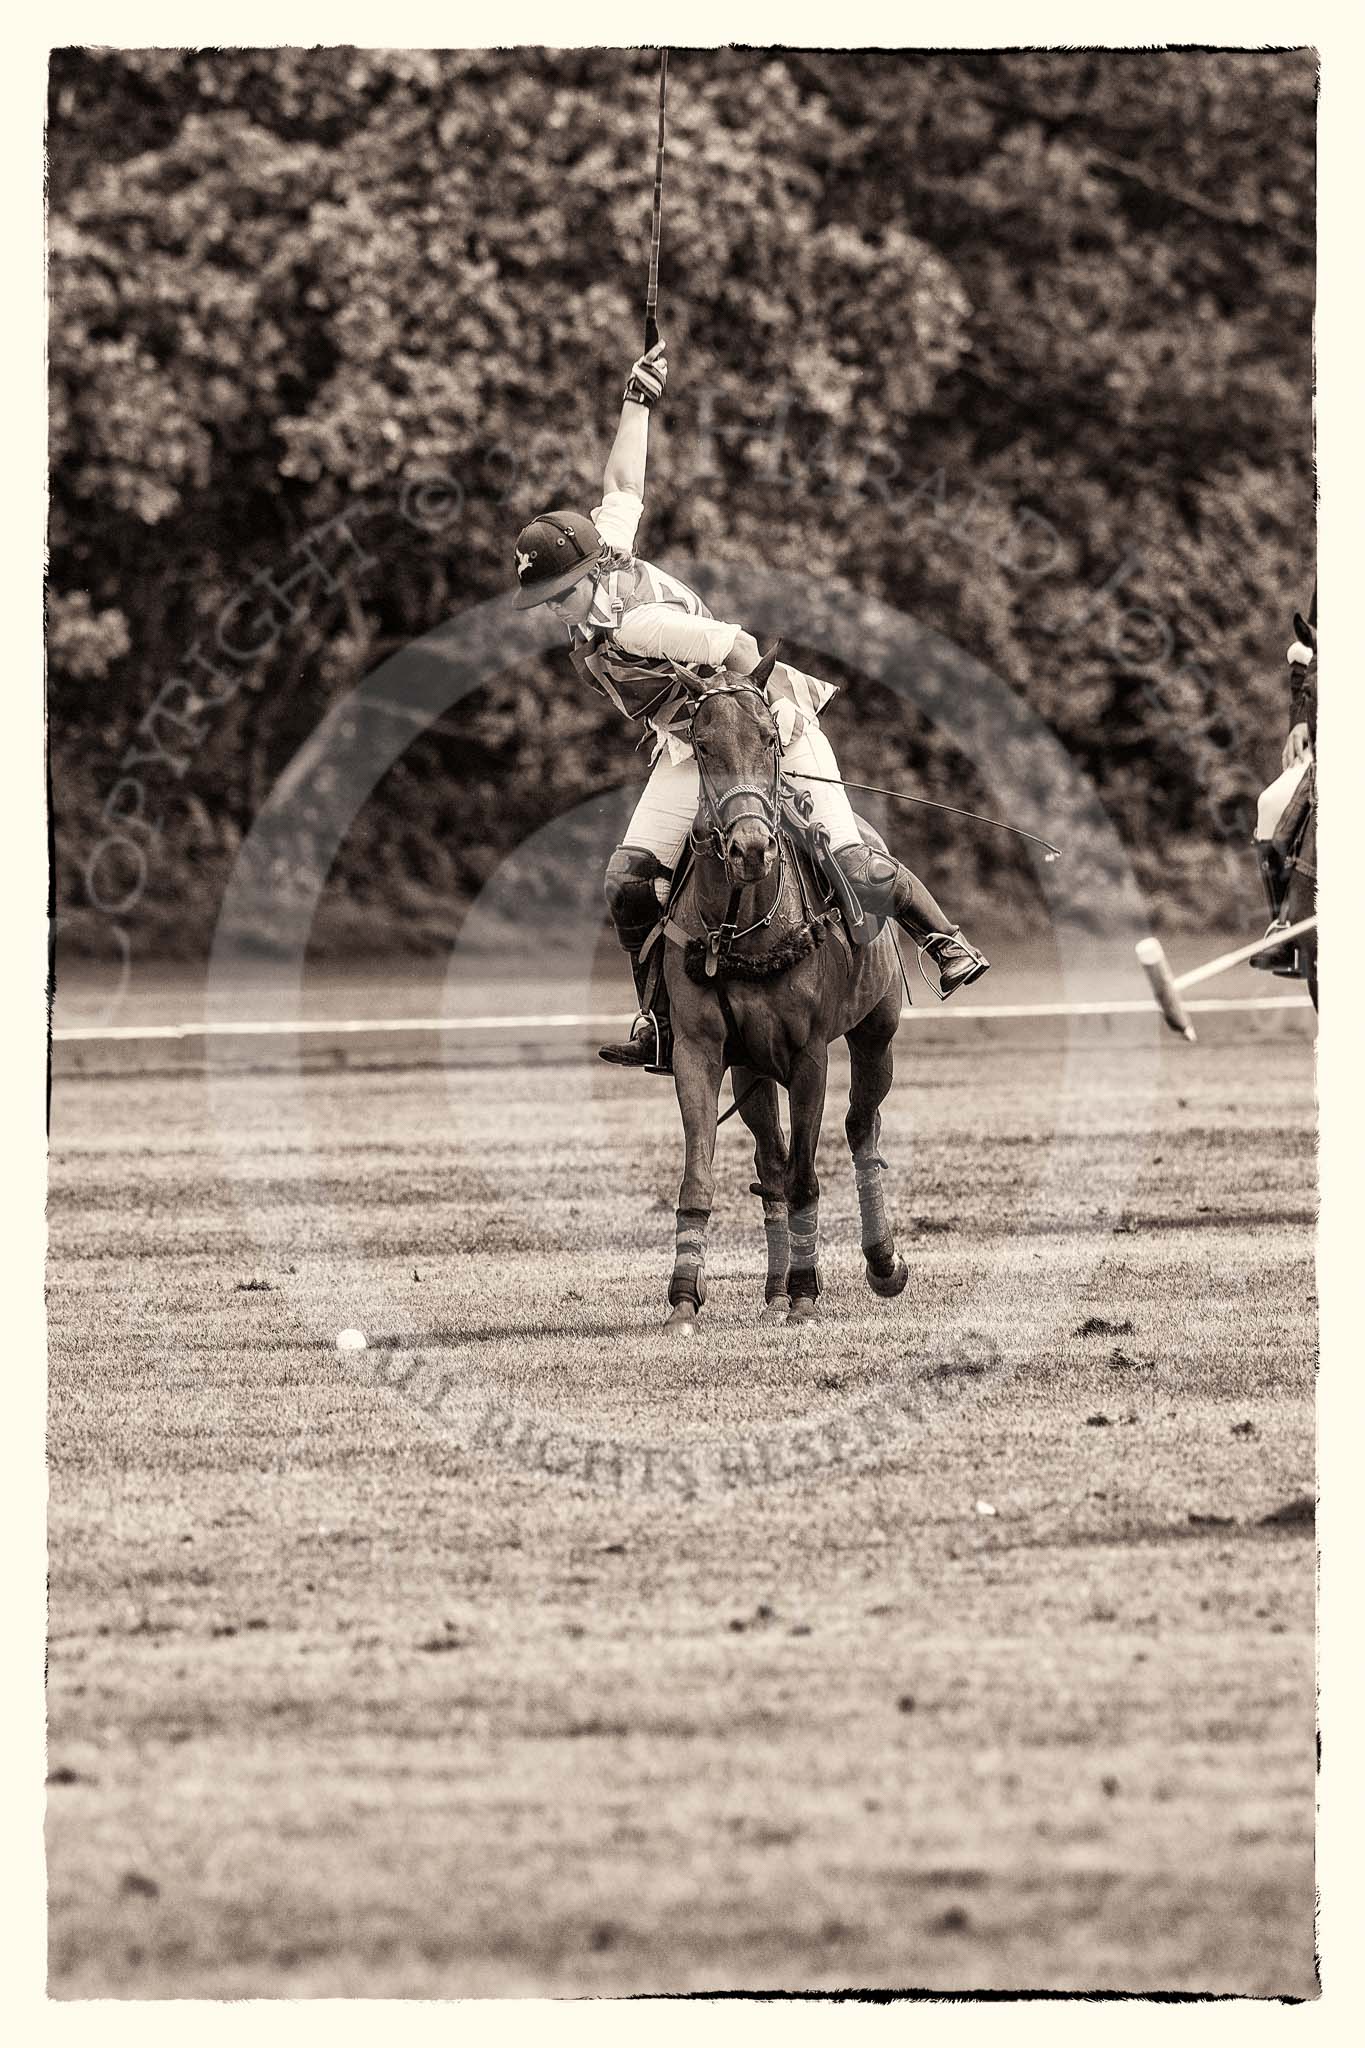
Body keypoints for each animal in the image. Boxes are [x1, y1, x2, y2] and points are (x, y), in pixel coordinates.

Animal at [654, 647, 912, 1335]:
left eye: (770, 741)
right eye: (703, 746)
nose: (750, 848)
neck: (741, 925)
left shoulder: (809, 1056)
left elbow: (805, 1173)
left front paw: (805, 1291)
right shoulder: (698, 1051)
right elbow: (701, 1175)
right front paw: (684, 1296)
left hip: (876, 1032)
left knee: (861, 1131)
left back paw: (881, 1263)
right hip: (752, 1067)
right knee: (769, 1162)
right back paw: (772, 1285)